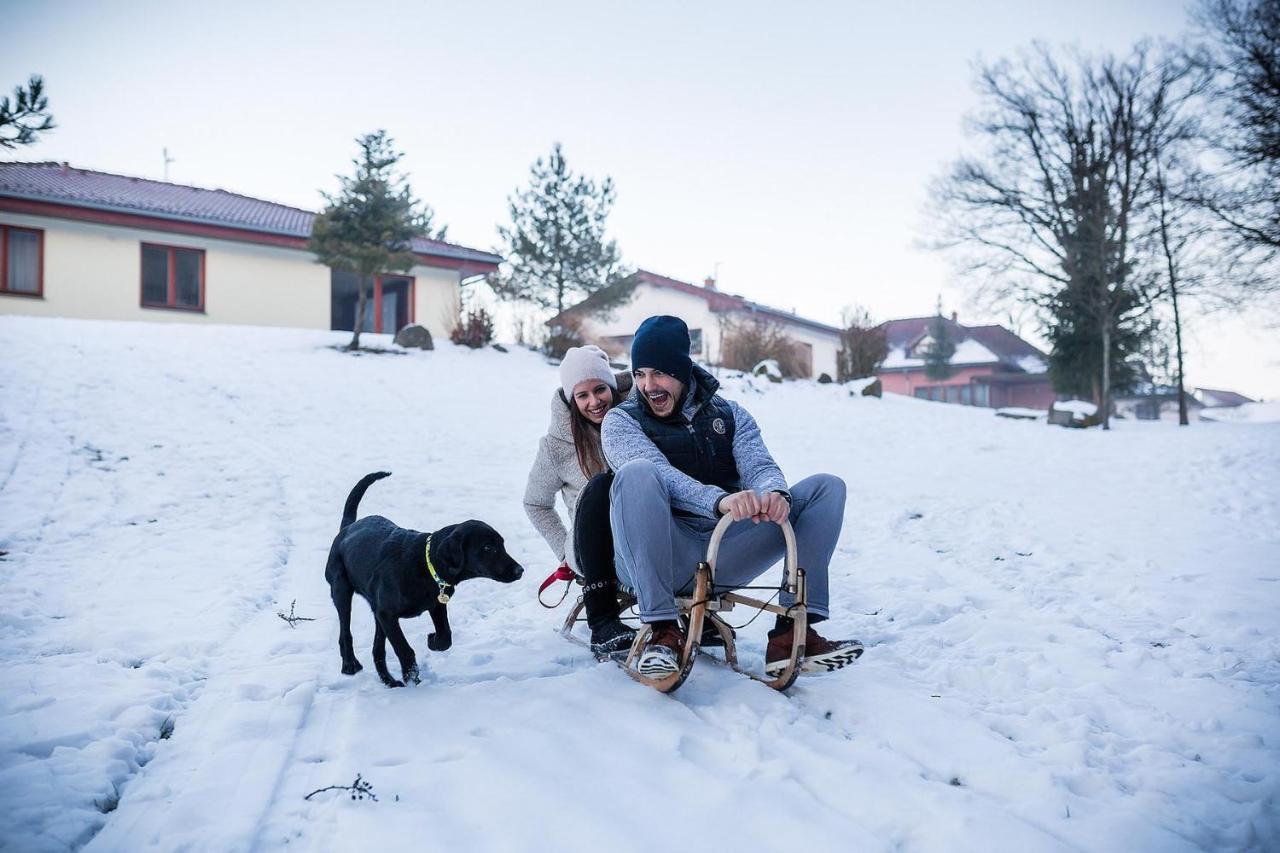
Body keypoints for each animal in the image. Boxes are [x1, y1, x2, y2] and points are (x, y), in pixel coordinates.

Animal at [325, 471, 524, 686]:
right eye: (487, 548)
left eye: (502, 544)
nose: (519, 570)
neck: (425, 563)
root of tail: (347, 527)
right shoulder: (387, 613)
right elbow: (404, 649)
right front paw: (413, 679)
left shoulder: (434, 605)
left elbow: (446, 636)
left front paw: (432, 641)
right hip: (341, 590)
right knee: (345, 633)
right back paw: (350, 665)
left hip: (376, 608)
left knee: (377, 648)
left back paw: (389, 681)